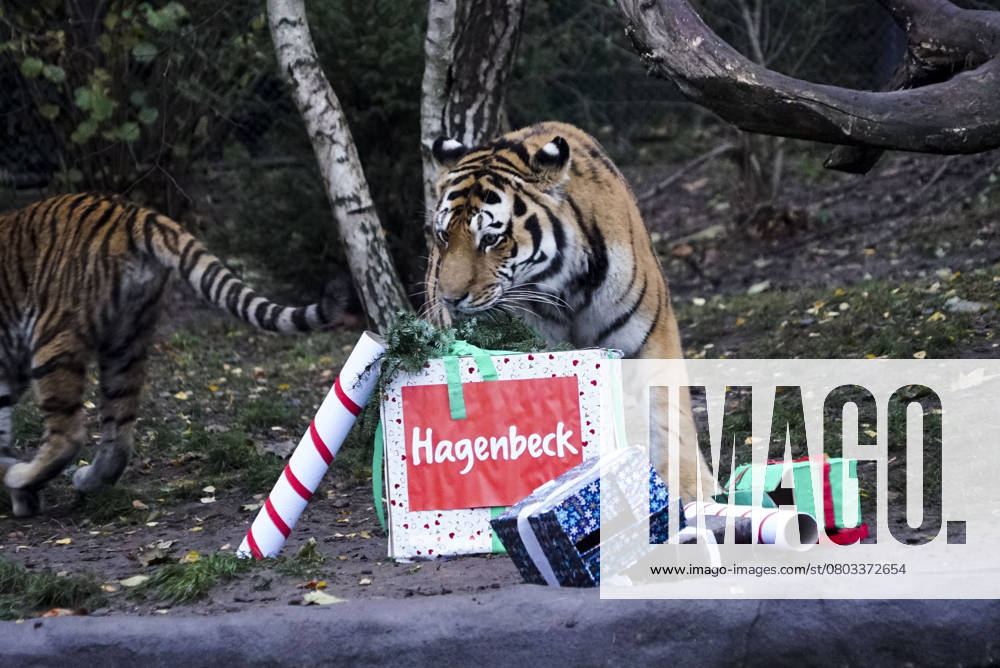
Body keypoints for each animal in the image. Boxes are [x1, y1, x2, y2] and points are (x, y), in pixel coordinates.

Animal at [0, 193, 343, 516]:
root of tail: (128, 211)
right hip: (126, 341)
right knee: (119, 434)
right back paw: (82, 482)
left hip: (53, 336)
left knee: (69, 434)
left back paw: (21, 476)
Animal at [423, 121, 714, 501]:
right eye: (444, 236)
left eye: (490, 239)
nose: (450, 299)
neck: (570, 287)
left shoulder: (651, 335)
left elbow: (668, 416)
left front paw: (694, 490)